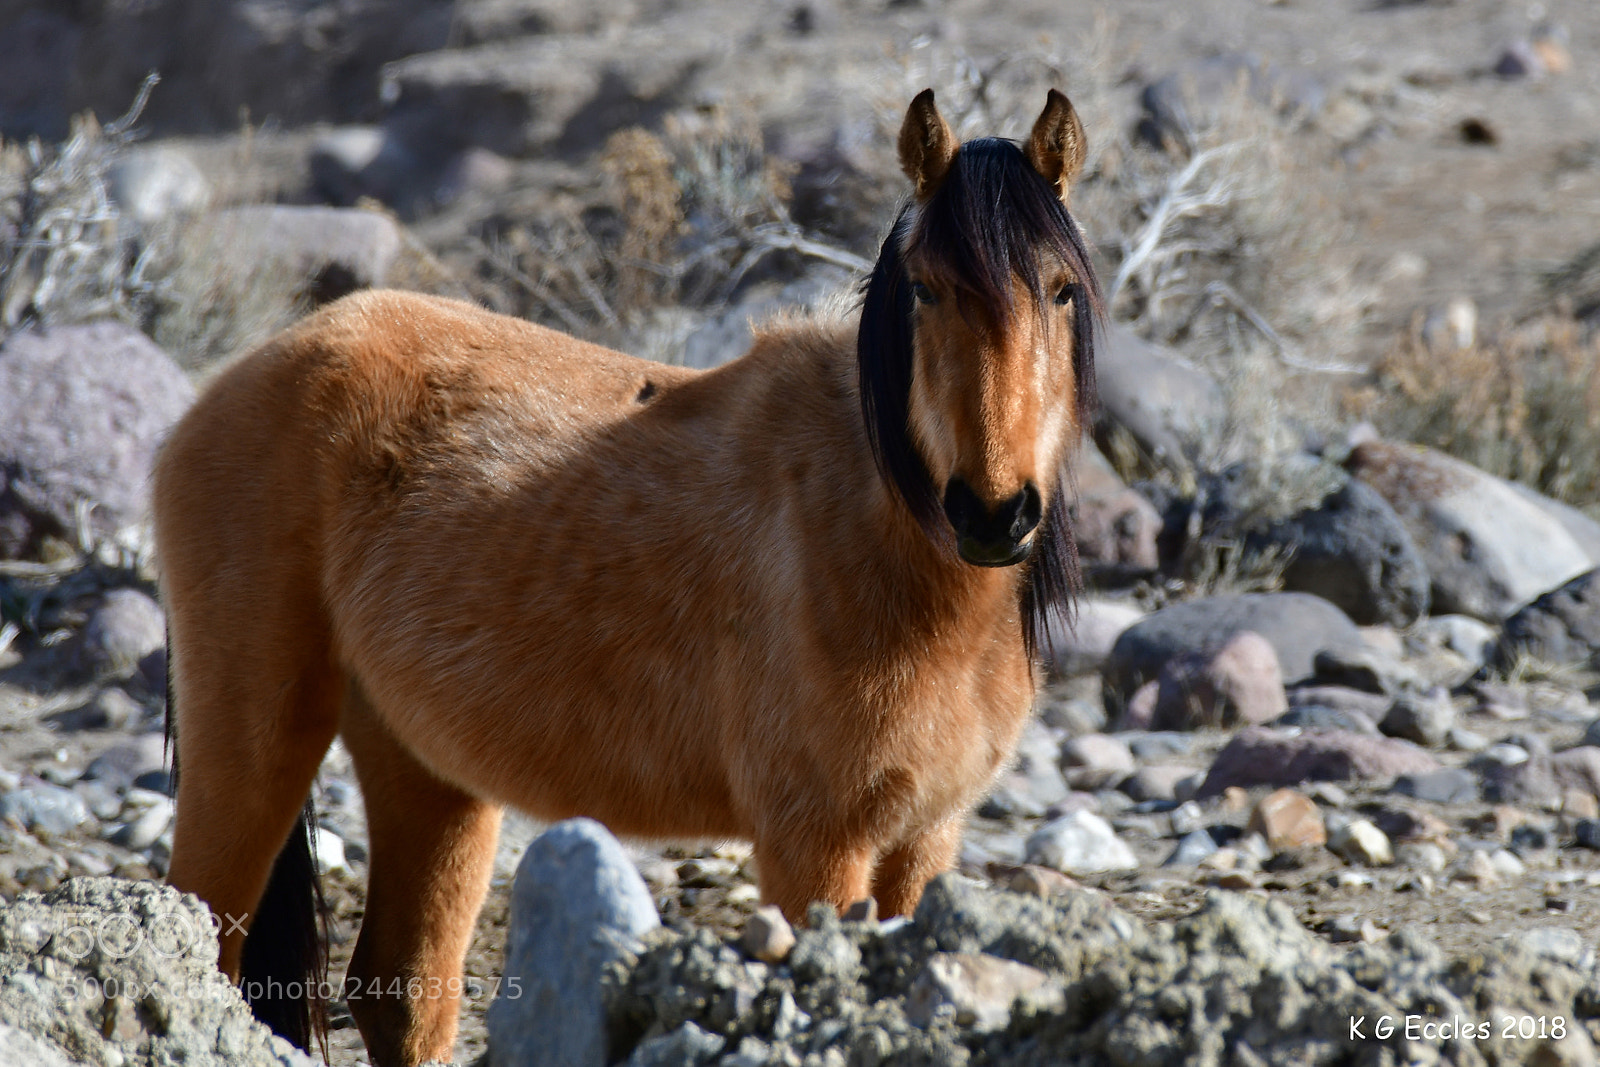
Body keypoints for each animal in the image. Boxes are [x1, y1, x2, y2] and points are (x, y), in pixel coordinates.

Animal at [153, 87, 1101, 1066]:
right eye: (925, 287)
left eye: (1062, 290)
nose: (993, 513)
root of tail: (230, 385)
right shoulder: (815, 845)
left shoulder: (923, 839)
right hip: (256, 746)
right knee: (214, 943)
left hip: (426, 768)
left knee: (406, 991)